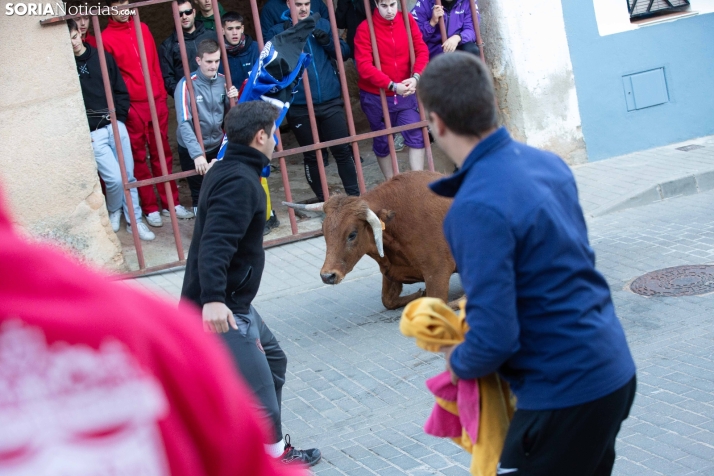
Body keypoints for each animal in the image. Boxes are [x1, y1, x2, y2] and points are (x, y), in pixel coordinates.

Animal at [282, 169, 454, 310]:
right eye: (323, 232)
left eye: (352, 234)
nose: (327, 276)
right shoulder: (391, 273)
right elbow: (387, 301)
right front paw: (420, 294)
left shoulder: (437, 273)